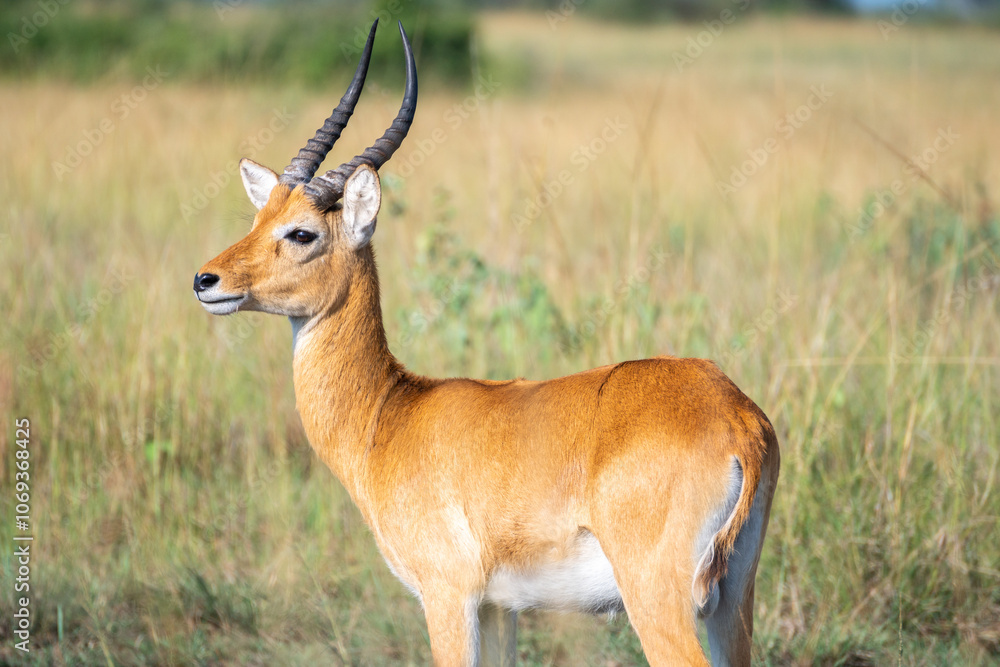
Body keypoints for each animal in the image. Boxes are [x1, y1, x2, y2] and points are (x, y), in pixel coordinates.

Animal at [193, 20, 780, 666]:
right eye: (256, 220)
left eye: (301, 233)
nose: (206, 280)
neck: (389, 415)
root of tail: (737, 418)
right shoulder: (502, 609)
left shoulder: (450, 596)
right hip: (732, 600)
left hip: (659, 600)